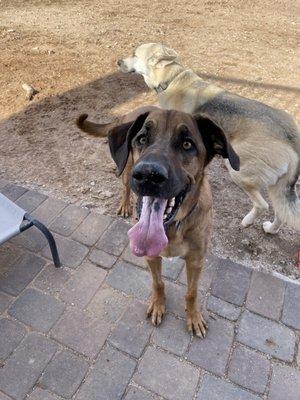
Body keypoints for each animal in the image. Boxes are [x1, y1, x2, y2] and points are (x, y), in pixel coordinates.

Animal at [105, 108, 239, 336]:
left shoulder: (196, 260)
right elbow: (158, 283)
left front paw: (193, 317)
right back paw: (124, 204)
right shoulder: (151, 256)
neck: (172, 228)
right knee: (125, 186)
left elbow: (192, 292)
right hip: (126, 168)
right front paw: (158, 305)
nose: (148, 175)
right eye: (142, 139)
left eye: (187, 144)